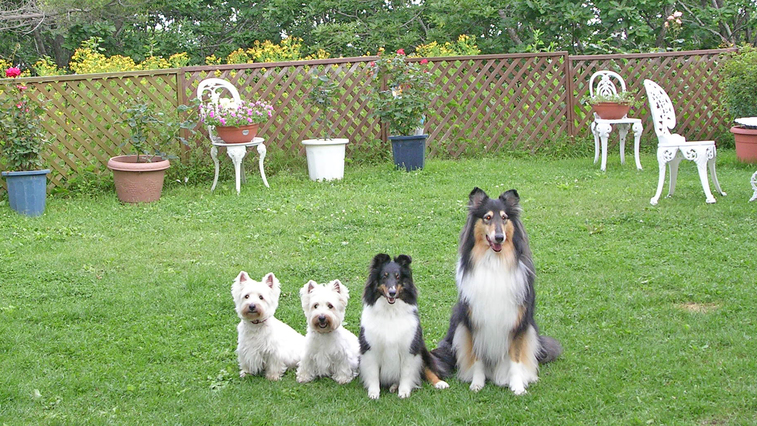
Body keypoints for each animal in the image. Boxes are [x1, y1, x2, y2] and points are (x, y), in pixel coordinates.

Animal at [358, 253, 448, 400]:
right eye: (384, 276)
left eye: (398, 276)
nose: (392, 293)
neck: (390, 312)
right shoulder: (370, 348)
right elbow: (373, 373)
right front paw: (374, 393)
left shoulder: (409, 347)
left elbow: (407, 372)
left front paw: (404, 391)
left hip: (421, 348)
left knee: (428, 369)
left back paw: (439, 383)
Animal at [432, 188, 560, 394]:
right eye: (487, 217)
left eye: (505, 217)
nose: (499, 237)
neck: (495, 262)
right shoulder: (474, 322)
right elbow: (477, 358)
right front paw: (477, 383)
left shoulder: (518, 322)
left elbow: (515, 358)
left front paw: (517, 387)